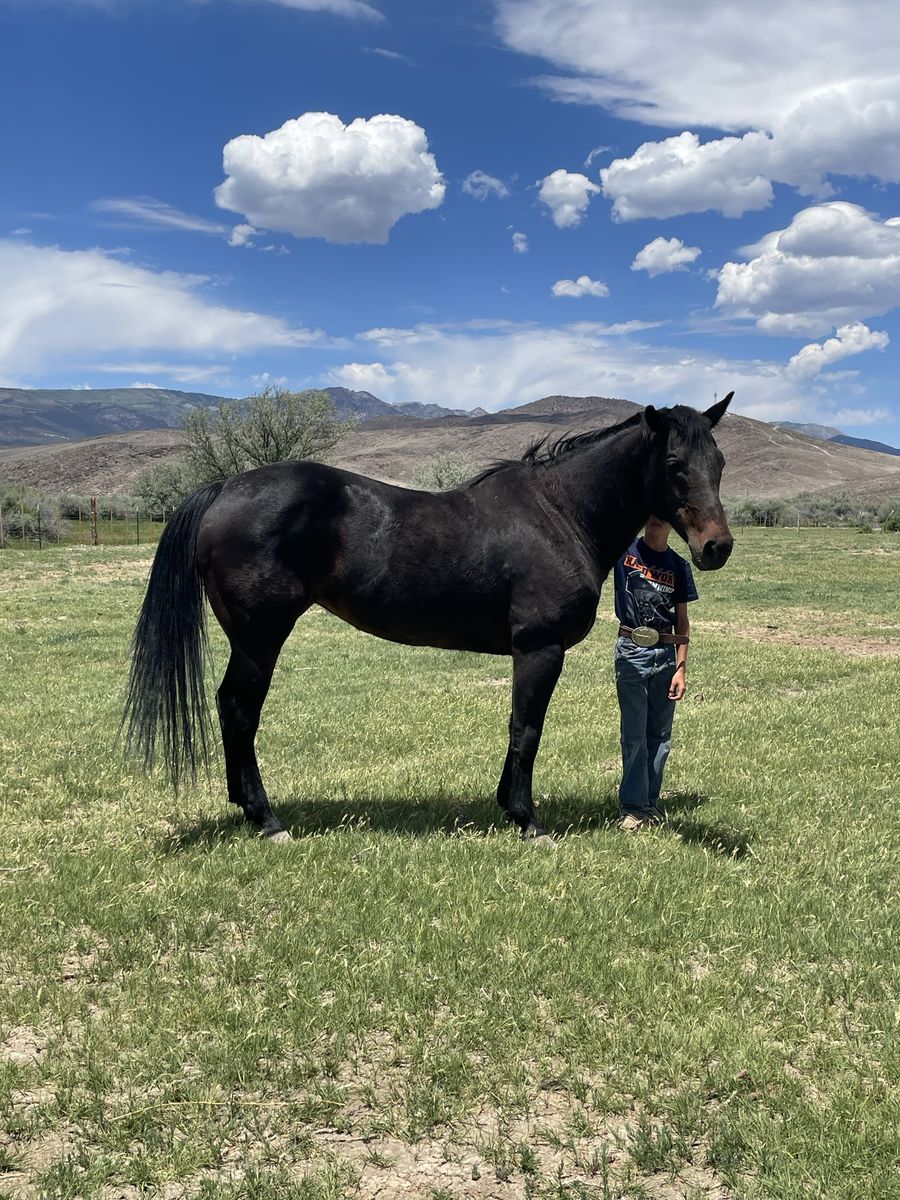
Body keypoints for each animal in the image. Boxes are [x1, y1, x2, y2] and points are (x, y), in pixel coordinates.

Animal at [124, 394, 734, 843]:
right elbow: (526, 728)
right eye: (675, 466)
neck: (560, 514)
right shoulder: (538, 649)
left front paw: (506, 807)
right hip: (259, 638)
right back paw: (267, 819)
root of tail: (224, 487)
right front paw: (527, 821)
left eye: (720, 463)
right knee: (238, 710)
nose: (717, 547)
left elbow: (518, 728)